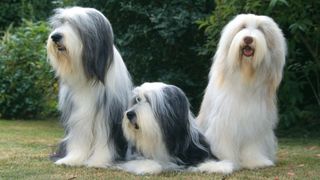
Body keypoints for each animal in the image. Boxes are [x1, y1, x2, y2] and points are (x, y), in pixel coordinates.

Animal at [45, 7, 132, 167]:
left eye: (76, 26)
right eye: (61, 23)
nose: (55, 36)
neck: (88, 75)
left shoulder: (106, 114)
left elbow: (103, 139)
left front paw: (98, 161)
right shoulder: (77, 114)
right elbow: (79, 138)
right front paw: (72, 159)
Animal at [198, 14, 284, 170]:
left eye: (260, 29)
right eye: (242, 27)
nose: (248, 39)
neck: (246, 77)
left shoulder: (255, 122)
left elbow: (252, 146)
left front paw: (256, 162)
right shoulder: (224, 120)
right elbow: (224, 142)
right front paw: (227, 162)